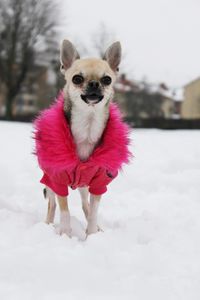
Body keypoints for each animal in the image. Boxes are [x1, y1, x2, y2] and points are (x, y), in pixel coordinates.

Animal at [34, 39, 130, 237]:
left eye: (107, 79)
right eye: (77, 79)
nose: (94, 84)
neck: (88, 124)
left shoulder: (98, 183)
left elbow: (93, 211)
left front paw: (92, 234)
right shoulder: (57, 180)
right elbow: (64, 210)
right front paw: (65, 234)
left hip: (85, 186)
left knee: (86, 204)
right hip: (49, 182)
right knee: (52, 205)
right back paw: (47, 225)